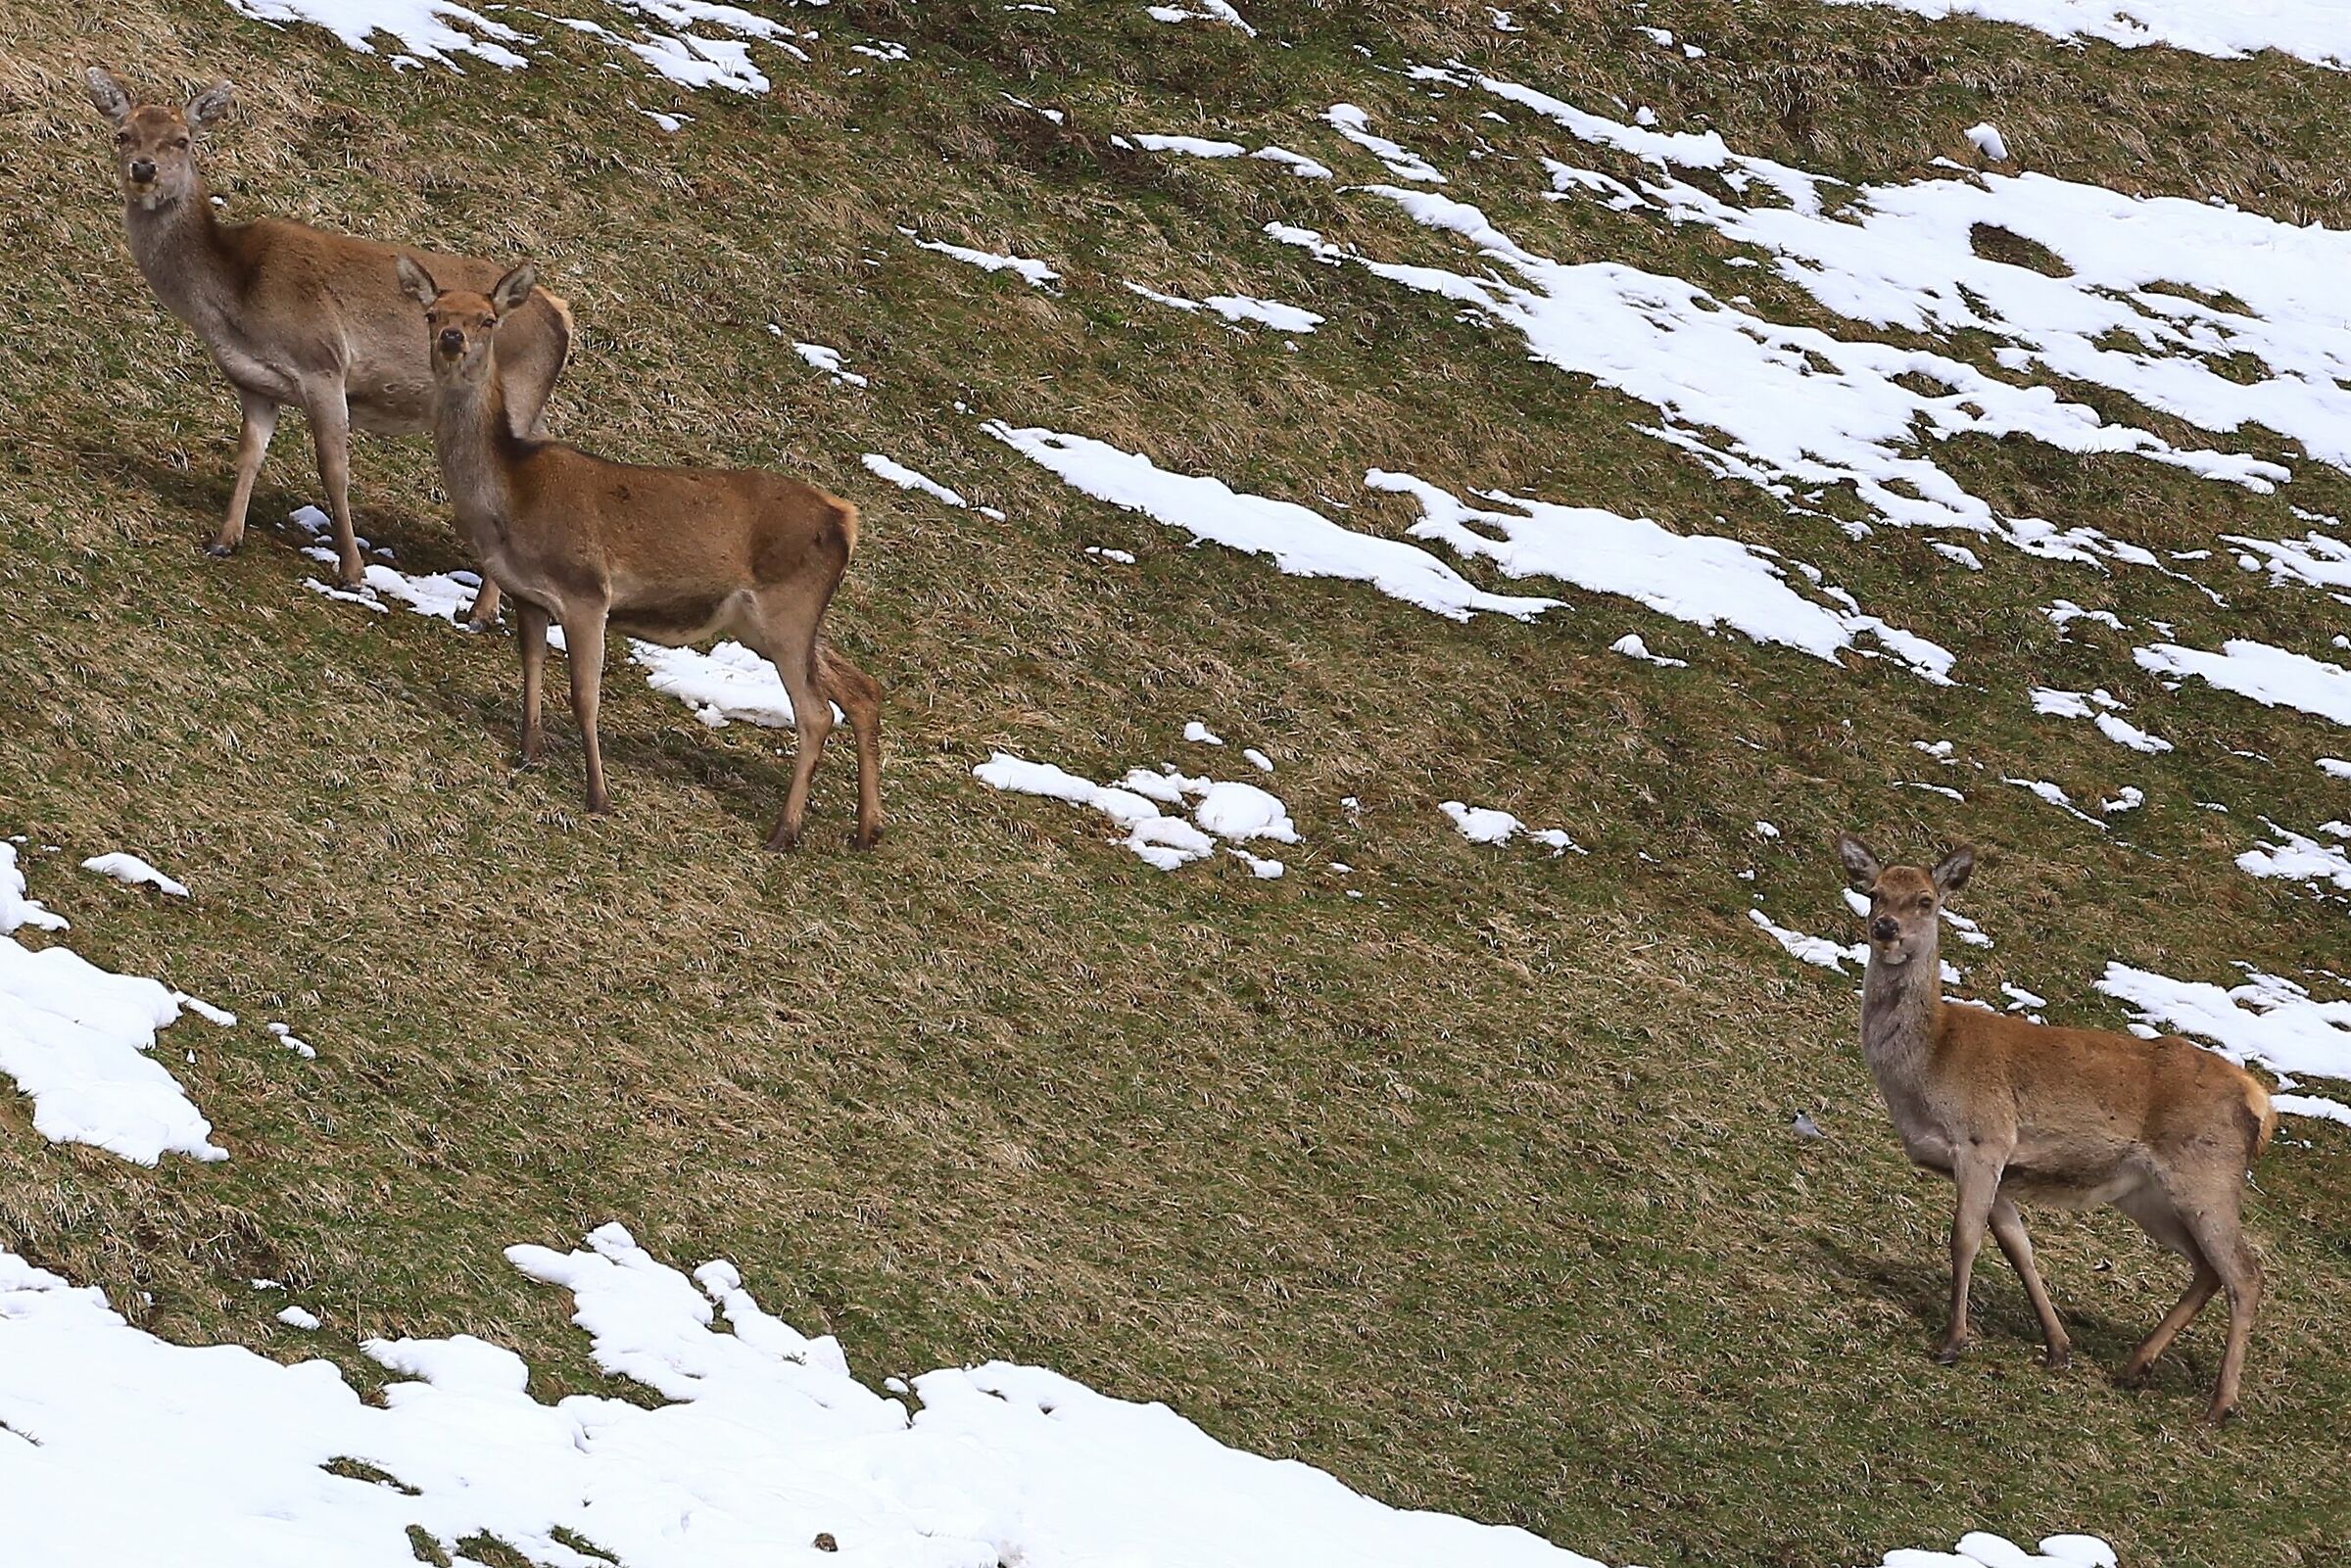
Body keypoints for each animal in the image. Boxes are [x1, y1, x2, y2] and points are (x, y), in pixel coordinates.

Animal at [84, 66, 574, 626]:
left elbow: (334, 470)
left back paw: (482, 610)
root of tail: (561, 314)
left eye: (182, 140)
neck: (232, 300)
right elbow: (248, 455)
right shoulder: (255, 383)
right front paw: (225, 539)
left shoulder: (322, 363)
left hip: (517, 394)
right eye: (123, 135)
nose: (143, 169)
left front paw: (353, 571)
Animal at [396, 257, 882, 851]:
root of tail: (846, 520)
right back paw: (867, 828)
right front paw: (528, 753)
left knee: (815, 713)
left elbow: (585, 696)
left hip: (786, 611)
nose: (452, 338)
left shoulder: (586, 591)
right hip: (775, 621)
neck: (509, 498)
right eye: (434, 312)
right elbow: (530, 670)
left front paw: (598, 796)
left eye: (487, 319)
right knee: (861, 688)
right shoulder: (527, 595)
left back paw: (784, 831)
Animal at [1833, 835, 2276, 1423]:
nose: (1885, 927)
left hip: (2207, 1175)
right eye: (1875, 892)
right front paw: (2058, 1347)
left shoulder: (1983, 1139)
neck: (1927, 1067)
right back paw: (2135, 1367)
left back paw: (2220, 1404)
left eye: (1925, 900)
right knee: (2209, 1269)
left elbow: (1964, 1239)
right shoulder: (1999, 1166)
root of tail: (2260, 1103)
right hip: (2147, 1194)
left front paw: (1952, 1342)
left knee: (2245, 1275)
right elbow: (2018, 1246)